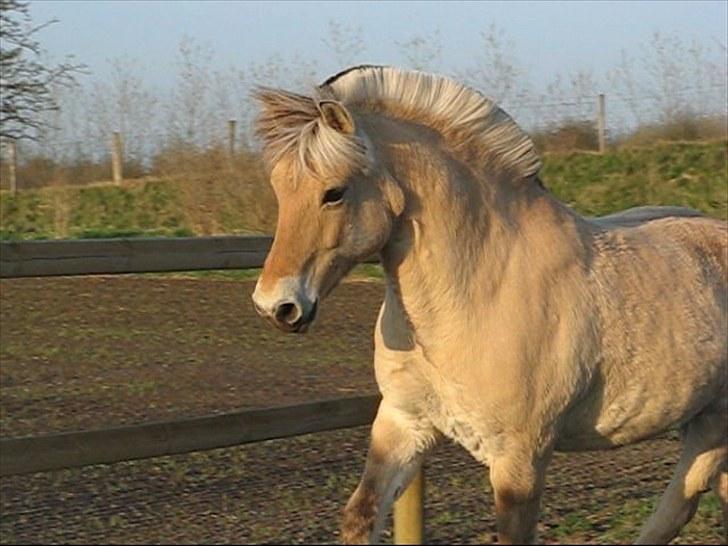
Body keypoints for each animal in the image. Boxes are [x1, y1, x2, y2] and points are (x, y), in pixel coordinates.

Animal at [249, 66, 724, 540]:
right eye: (278, 189)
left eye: (334, 192)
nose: (276, 306)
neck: (475, 294)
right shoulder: (403, 423)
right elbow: (360, 516)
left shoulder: (521, 460)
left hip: (713, 425)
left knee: (682, 499)